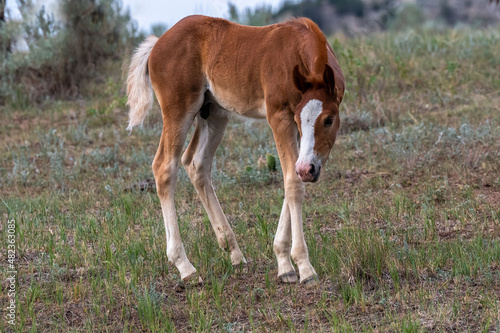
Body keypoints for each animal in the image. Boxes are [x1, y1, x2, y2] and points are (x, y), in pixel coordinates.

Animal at [126, 14, 344, 286]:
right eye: (301, 119)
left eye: (329, 119)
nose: (309, 169)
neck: (297, 47)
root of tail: (157, 44)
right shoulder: (279, 118)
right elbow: (293, 183)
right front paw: (304, 267)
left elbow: (290, 178)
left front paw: (284, 264)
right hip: (179, 110)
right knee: (164, 167)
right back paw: (186, 267)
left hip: (214, 112)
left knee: (196, 163)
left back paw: (234, 252)